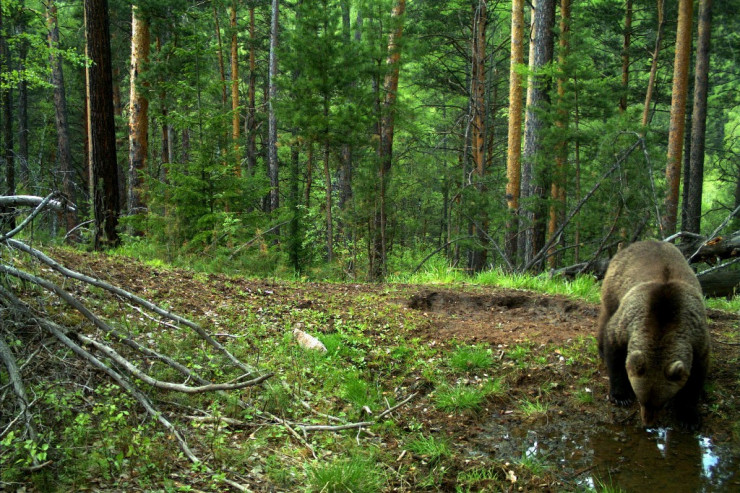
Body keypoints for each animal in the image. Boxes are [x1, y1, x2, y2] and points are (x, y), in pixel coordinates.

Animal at [596, 238, 712, 426]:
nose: (647, 421)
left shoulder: (697, 337)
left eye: (662, 402)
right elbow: (614, 347)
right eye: (641, 399)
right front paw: (621, 396)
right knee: (606, 315)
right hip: (614, 285)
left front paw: (688, 416)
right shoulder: (628, 320)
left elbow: (695, 376)